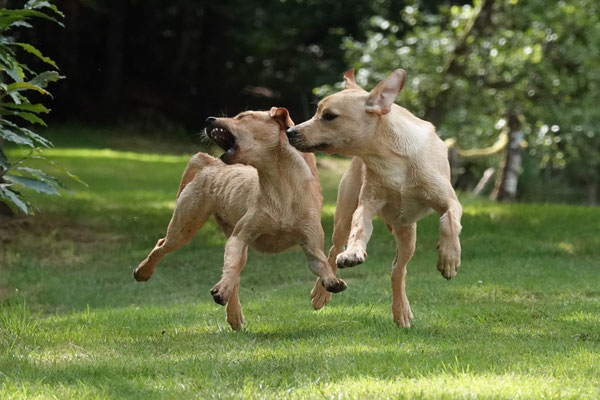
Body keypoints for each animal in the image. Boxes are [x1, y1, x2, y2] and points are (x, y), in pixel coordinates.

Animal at [133, 108, 347, 330]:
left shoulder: (310, 243)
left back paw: (233, 313)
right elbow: (232, 266)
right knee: (163, 245)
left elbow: (320, 263)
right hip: (184, 227)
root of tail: (212, 163)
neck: (282, 188)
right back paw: (143, 271)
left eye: (243, 117)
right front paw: (221, 290)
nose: (209, 119)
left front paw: (331, 282)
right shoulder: (240, 237)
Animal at [286, 69, 462, 328]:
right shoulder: (366, 205)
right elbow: (359, 229)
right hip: (344, 215)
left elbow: (449, 221)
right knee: (333, 251)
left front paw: (449, 257)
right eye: (317, 112)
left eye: (329, 116)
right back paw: (322, 292)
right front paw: (353, 253)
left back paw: (401, 311)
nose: (290, 132)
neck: (391, 159)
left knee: (398, 270)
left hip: (407, 234)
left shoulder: (448, 200)